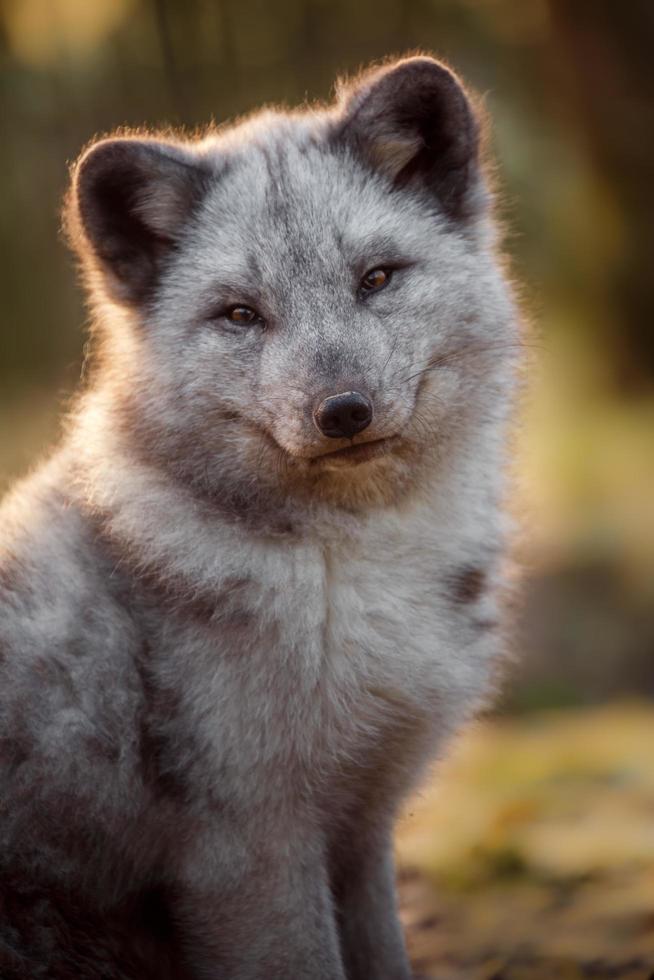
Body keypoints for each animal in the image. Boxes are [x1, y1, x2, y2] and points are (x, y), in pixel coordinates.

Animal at [0, 55, 524, 980]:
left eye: (376, 278)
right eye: (241, 315)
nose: (343, 412)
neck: (355, 571)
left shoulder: (361, 829)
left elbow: (383, 958)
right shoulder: (250, 852)